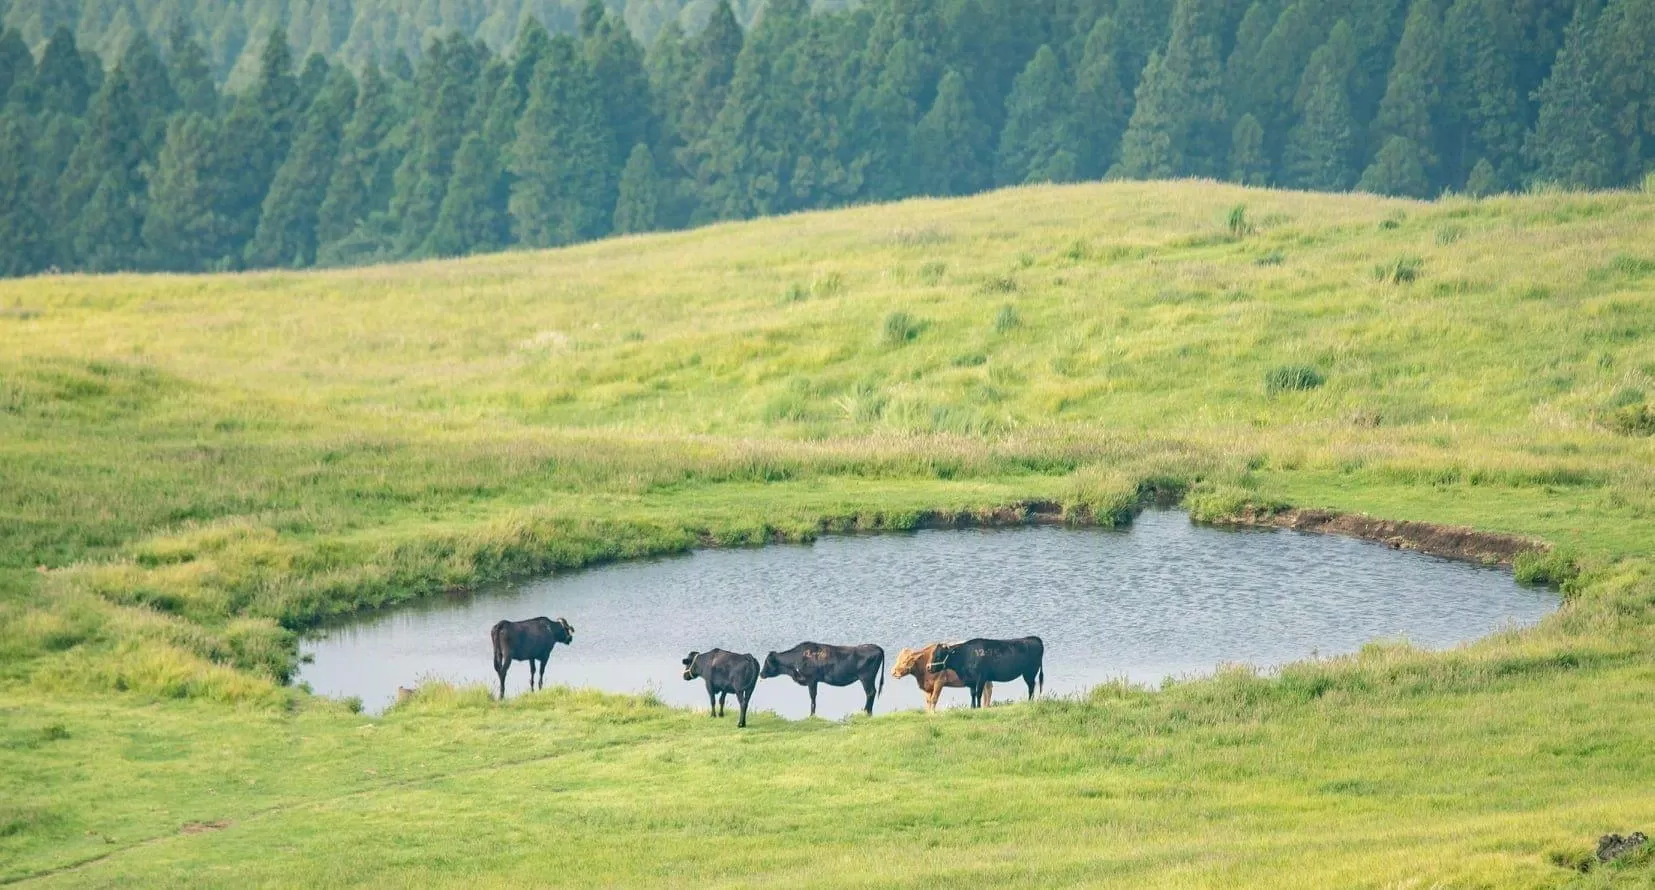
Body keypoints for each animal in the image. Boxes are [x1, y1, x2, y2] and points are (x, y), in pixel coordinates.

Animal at [757, 638, 887, 714]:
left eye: (767, 662)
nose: (761, 673)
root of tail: (876, 647)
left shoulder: (811, 680)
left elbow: (813, 697)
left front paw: (812, 715)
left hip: (866, 678)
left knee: (870, 692)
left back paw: (866, 712)